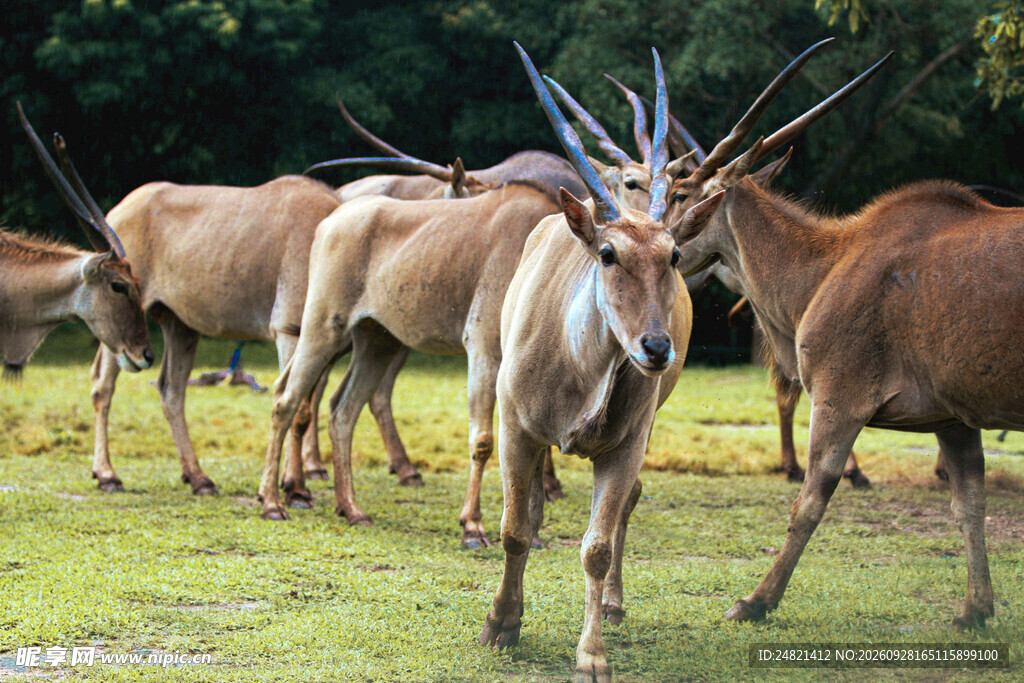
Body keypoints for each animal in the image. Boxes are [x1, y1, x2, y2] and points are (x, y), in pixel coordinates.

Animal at [477, 43, 724, 683]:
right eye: (608, 253)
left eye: (674, 254)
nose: (656, 348)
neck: (579, 369)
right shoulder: (516, 428)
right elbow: (514, 530)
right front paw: (501, 625)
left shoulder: (624, 445)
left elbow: (598, 544)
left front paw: (591, 655)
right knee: (530, 515)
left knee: (622, 512)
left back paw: (612, 604)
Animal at [663, 46, 1008, 629]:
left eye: (681, 193)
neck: (830, 261)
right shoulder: (954, 421)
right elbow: (970, 507)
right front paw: (975, 611)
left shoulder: (839, 402)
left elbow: (808, 504)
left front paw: (756, 601)